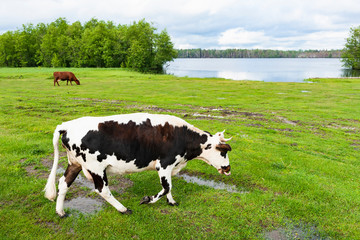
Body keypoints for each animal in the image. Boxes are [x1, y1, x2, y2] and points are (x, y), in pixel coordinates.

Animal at [43, 113, 232, 217]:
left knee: (64, 183)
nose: (228, 169)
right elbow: (166, 188)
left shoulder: (171, 166)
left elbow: (169, 188)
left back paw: (60, 212)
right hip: (95, 167)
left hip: (74, 163)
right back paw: (123, 209)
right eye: (224, 152)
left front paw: (172, 202)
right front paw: (147, 200)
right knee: (102, 190)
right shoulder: (164, 164)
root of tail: (67, 125)